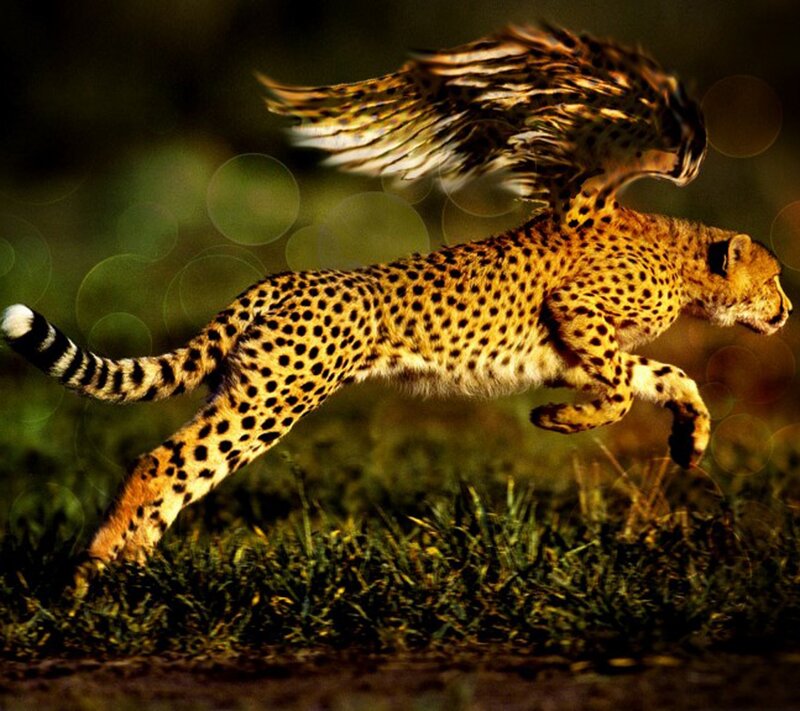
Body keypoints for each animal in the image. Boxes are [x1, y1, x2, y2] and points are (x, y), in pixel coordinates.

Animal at [1, 23, 792, 582]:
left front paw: (689, 440)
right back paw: (92, 572)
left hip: (247, 388)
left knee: (177, 466)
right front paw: (557, 420)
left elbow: (665, 377)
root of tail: (284, 278)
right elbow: (624, 389)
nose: (787, 311)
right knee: (163, 460)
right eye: (775, 278)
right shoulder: (576, 312)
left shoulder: (577, 350)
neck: (680, 258)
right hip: (272, 398)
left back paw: (130, 567)